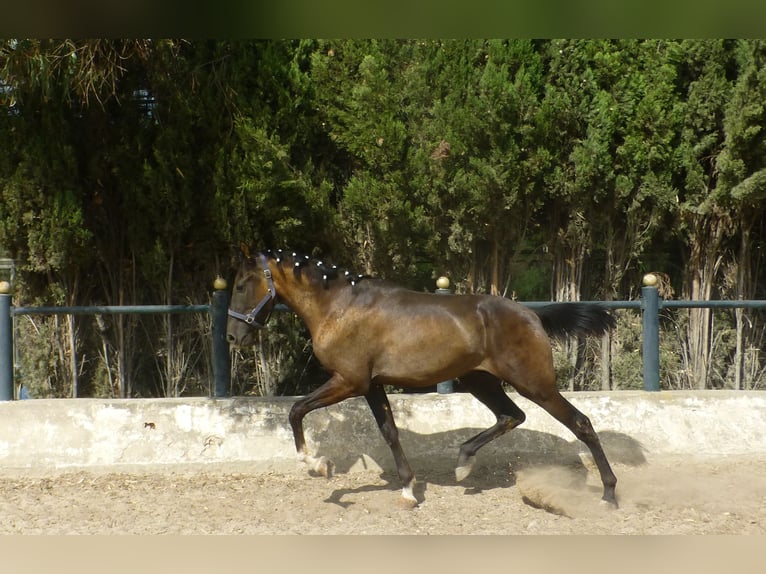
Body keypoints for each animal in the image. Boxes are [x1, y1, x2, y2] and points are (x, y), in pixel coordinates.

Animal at [226, 248, 616, 508]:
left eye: (242, 285)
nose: (233, 336)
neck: (340, 307)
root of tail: (532, 315)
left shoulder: (349, 381)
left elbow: (296, 411)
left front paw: (318, 465)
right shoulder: (372, 384)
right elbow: (390, 432)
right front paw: (408, 491)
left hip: (535, 384)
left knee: (581, 423)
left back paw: (609, 494)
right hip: (479, 380)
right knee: (511, 415)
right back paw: (463, 464)